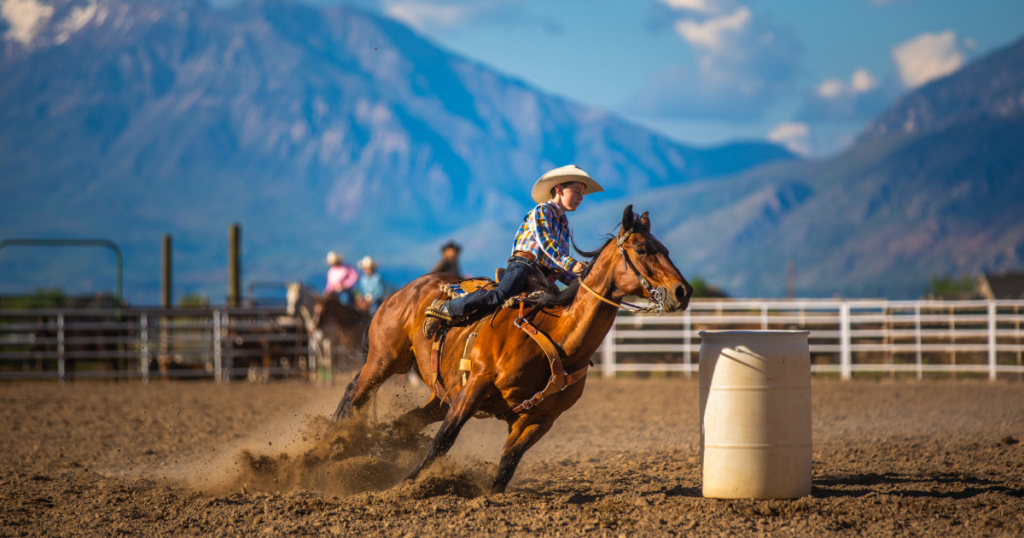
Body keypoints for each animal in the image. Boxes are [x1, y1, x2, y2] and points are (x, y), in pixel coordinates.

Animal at [331, 204, 692, 489]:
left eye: (666, 249)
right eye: (642, 250)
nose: (682, 291)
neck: (557, 338)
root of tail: (405, 290)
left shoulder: (539, 419)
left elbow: (507, 464)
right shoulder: (476, 386)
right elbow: (443, 441)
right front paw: (404, 484)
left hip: (440, 394)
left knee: (402, 423)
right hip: (385, 360)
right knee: (354, 391)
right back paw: (331, 443)